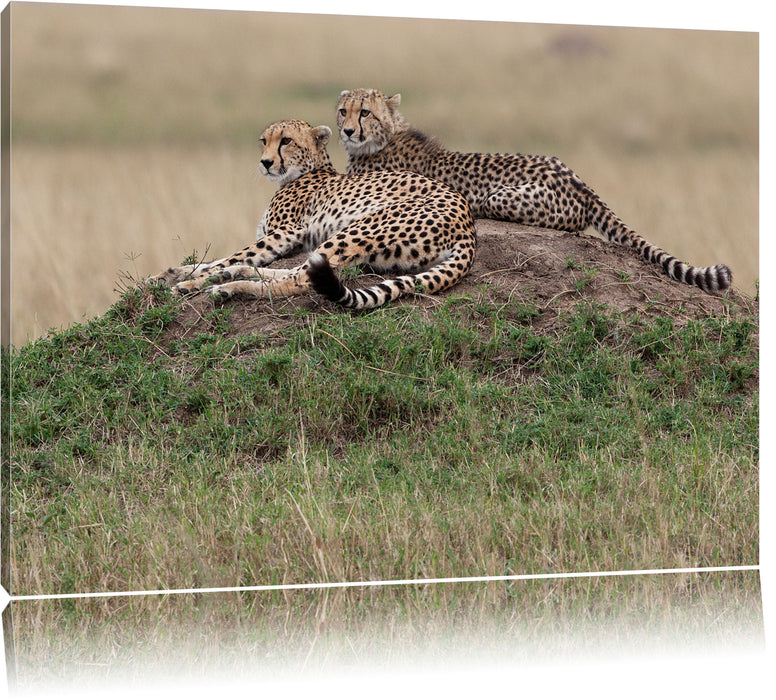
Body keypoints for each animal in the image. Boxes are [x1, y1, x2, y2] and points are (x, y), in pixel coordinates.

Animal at [149, 119, 476, 308]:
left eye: (286, 141)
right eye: (264, 141)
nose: (265, 162)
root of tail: (468, 226)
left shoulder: (285, 232)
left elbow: (231, 255)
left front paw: (189, 281)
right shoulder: (284, 238)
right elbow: (218, 259)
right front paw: (169, 273)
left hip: (358, 228)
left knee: (299, 281)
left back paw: (227, 287)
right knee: (302, 270)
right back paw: (232, 277)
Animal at [336, 89, 732, 294]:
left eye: (365, 112)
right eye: (343, 110)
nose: (347, 130)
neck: (385, 136)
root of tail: (580, 182)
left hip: (502, 197)